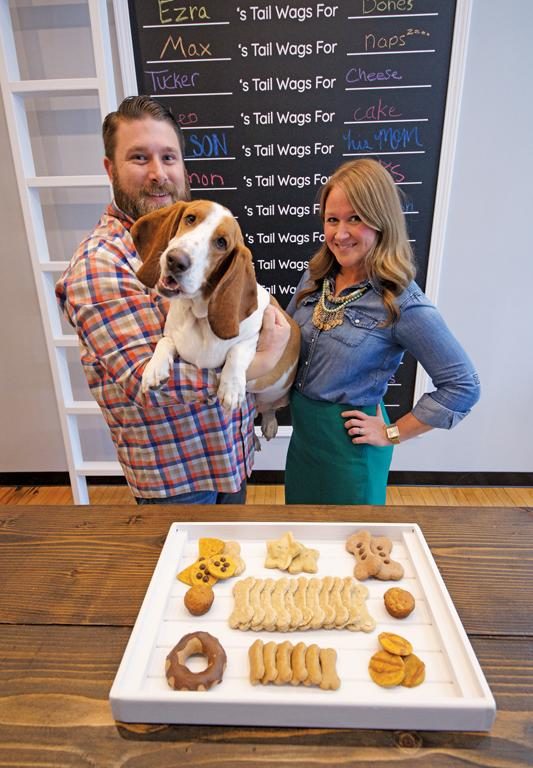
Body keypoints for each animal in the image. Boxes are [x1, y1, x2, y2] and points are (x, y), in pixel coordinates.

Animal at [130, 198, 300, 440]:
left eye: (221, 242)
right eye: (190, 218)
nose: (176, 260)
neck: (198, 315)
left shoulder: (252, 336)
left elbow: (236, 351)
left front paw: (231, 387)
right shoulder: (172, 335)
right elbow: (165, 341)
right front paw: (154, 368)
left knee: (270, 410)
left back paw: (268, 423)